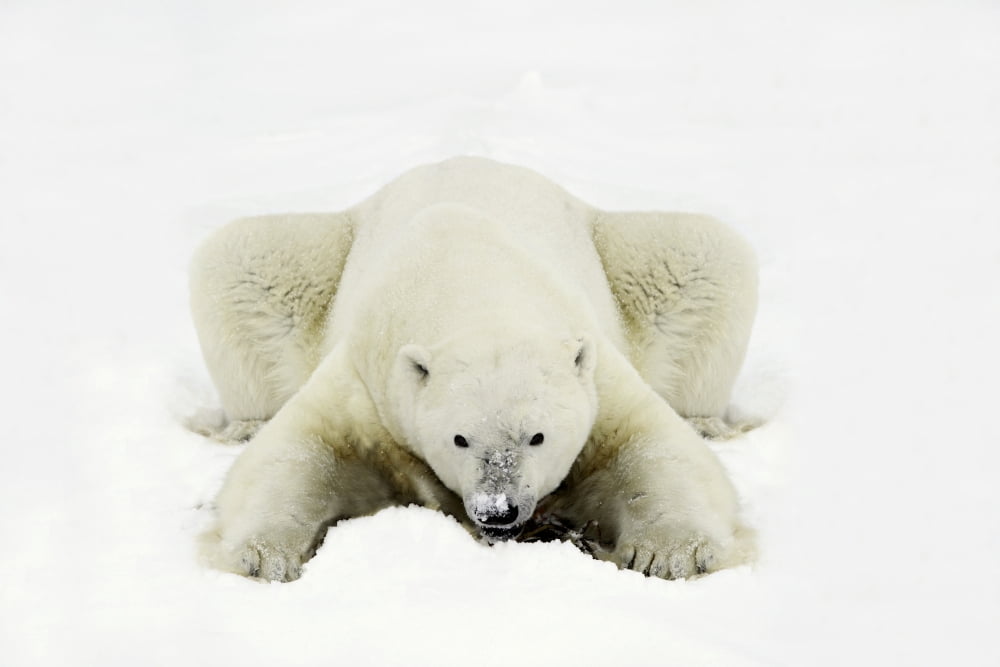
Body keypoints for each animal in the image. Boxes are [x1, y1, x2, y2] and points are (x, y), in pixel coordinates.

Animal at [190, 156, 758, 582]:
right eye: (460, 438)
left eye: (537, 436)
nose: (498, 511)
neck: (469, 279)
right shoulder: (370, 381)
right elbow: (296, 450)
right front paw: (262, 556)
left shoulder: (594, 369)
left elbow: (654, 445)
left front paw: (672, 554)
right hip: (321, 256)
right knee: (236, 256)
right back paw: (242, 426)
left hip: (621, 251)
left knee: (708, 250)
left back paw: (708, 420)